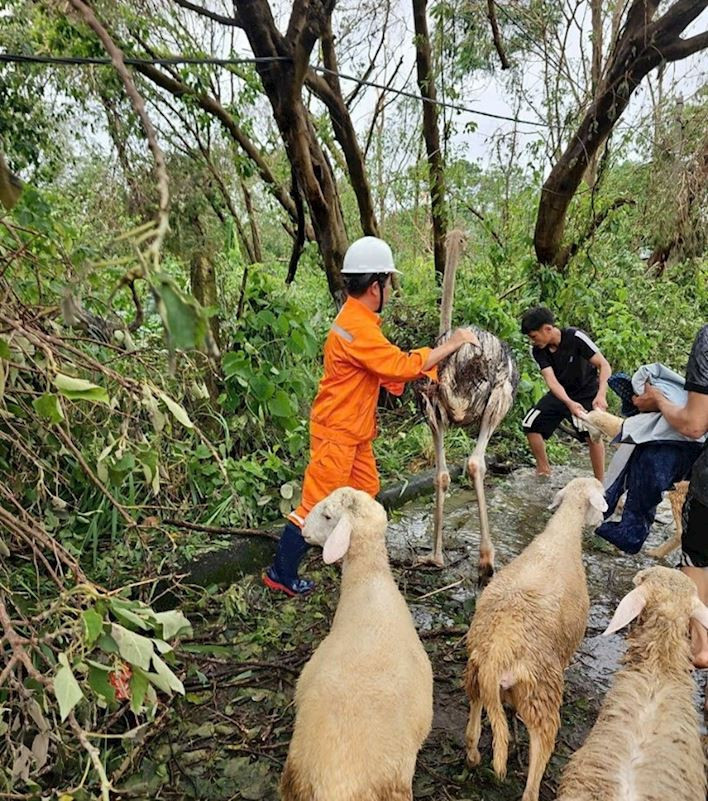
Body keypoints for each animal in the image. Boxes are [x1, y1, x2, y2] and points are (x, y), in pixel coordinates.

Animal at [462, 476, 604, 800]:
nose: (603, 521)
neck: (561, 535)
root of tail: (497, 653)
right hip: (542, 693)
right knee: (537, 761)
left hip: (476, 675)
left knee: (473, 719)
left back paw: (474, 755)